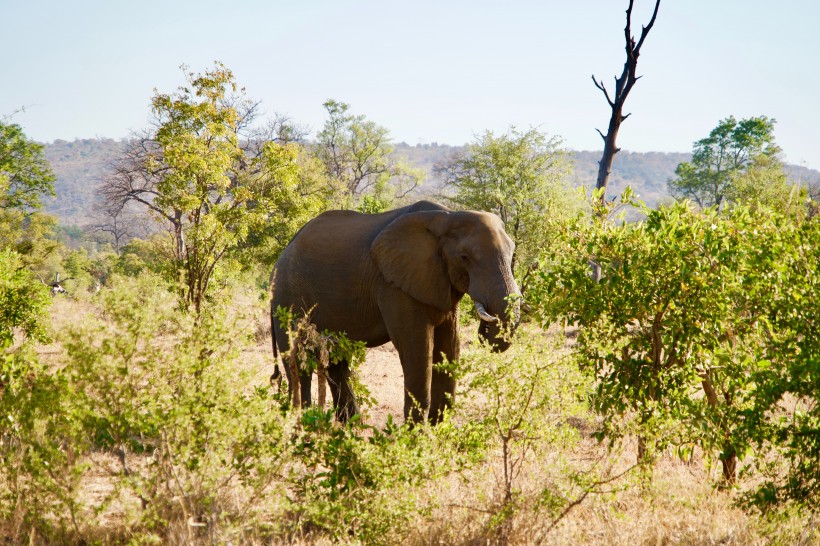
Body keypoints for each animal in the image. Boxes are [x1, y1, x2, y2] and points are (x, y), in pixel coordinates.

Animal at [272, 199, 524, 420]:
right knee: (299, 365)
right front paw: (416, 437)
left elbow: (449, 345)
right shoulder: (394, 286)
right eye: (465, 257)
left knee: (336, 362)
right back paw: (304, 426)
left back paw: (349, 427)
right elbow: (416, 346)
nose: (485, 328)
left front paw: (437, 431)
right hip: (286, 297)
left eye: (513, 254)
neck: (447, 216)